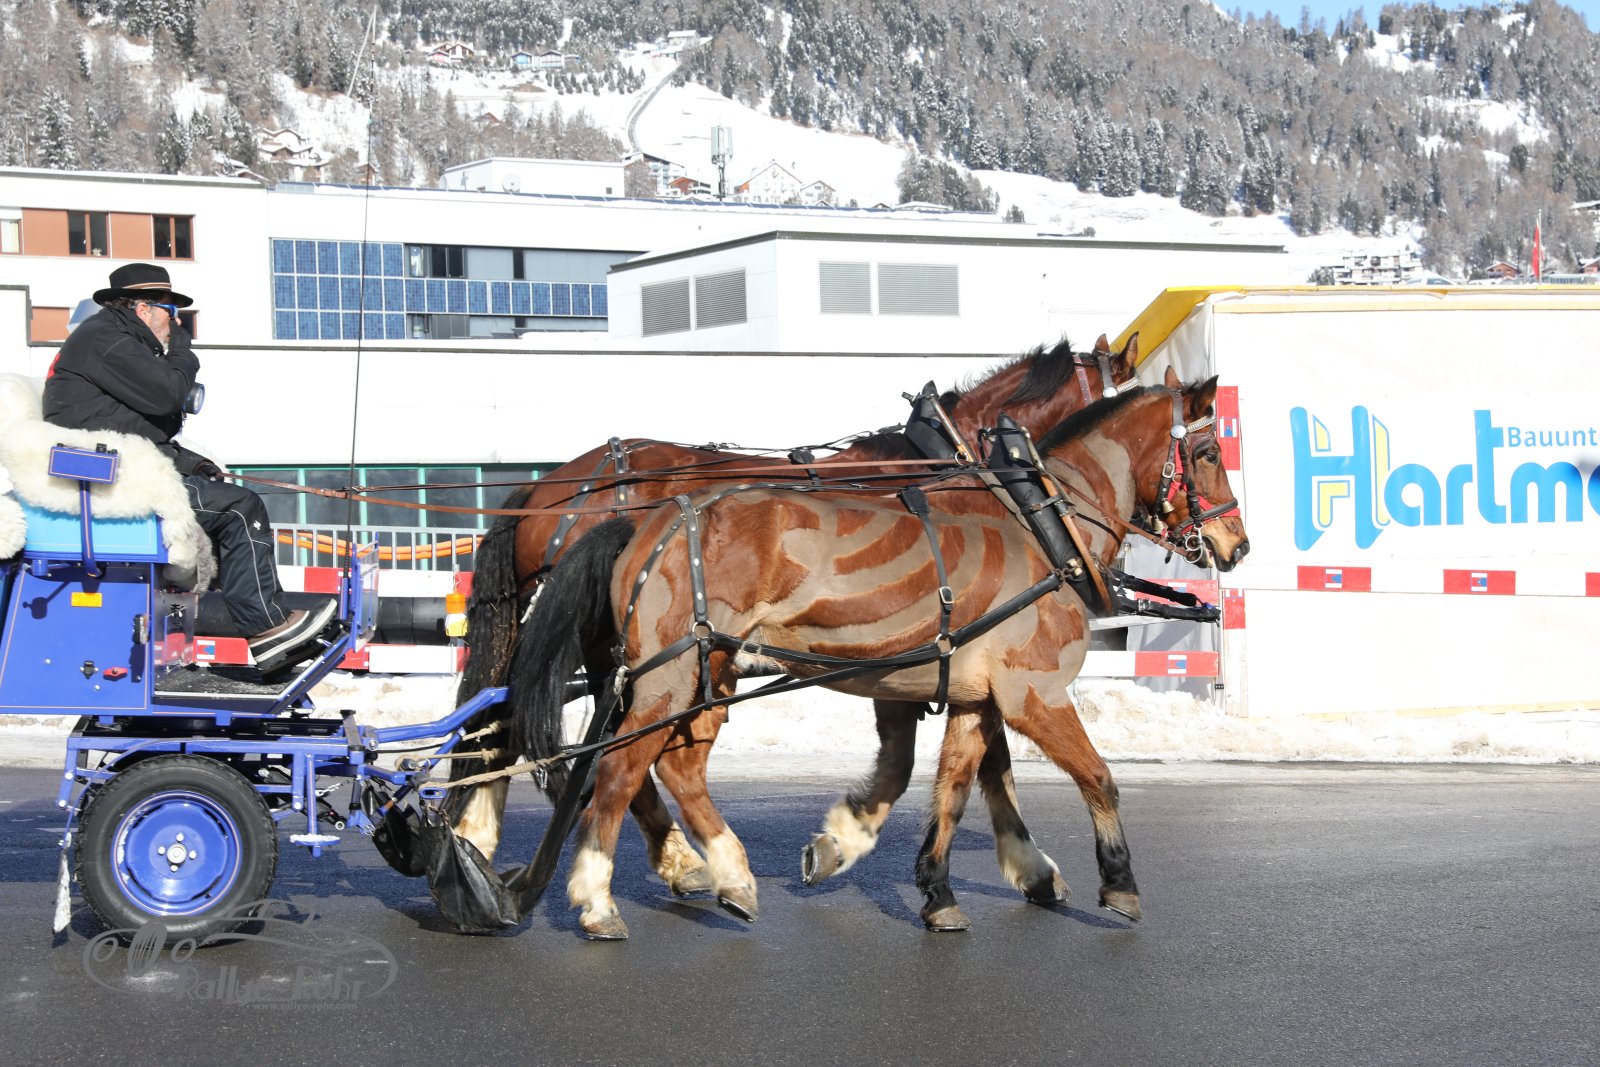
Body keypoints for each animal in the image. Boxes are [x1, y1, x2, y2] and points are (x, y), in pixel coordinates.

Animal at [448, 335, 1138, 897]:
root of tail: (547, 488)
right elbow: (980, 753)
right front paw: (1031, 866)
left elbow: (976, 753)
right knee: (604, 744)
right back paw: (669, 861)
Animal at [511, 371, 1249, 938]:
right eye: (1208, 449)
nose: (1236, 543)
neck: (1037, 518)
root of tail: (653, 523)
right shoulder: (1032, 692)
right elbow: (1096, 776)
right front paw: (1119, 882)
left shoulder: (970, 694)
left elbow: (954, 786)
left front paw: (936, 886)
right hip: (671, 674)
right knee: (620, 767)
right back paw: (600, 897)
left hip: (699, 675)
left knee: (673, 765)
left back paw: (724, 873)